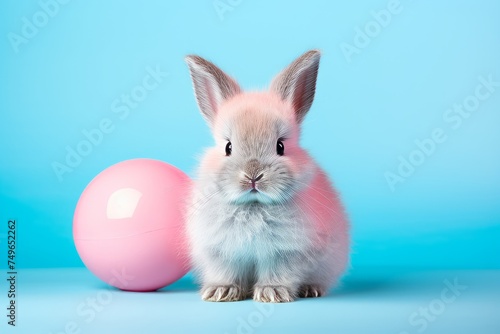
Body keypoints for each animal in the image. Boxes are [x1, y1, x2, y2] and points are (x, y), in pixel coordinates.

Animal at [185, 49, 352, 302]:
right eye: (228, 147)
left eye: (280, 146)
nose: (253, 176)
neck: (254, 206)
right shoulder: (220, 252)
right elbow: (226, 272)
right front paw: (220, 291)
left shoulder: (285, 253)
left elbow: (278, 272)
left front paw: (272, 293)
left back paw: (310, 289)